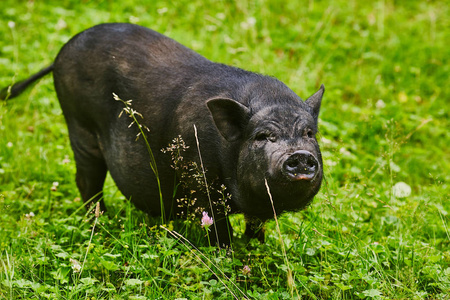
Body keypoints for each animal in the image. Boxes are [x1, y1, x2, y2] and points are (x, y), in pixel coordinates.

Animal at [0, 22, 324, 245]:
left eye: (309, 133)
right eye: (262, 136)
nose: (300, 155)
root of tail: (62, 52)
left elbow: (256, 228)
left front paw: (258, 248)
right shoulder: (201, 184)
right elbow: (221, 231)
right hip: (79, 125)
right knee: (87, 181)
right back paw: (100, 224)